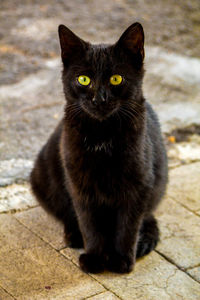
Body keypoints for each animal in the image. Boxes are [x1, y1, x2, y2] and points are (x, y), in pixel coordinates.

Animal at [30, 22, 167, 274]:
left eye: (116, 79)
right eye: (84, 79)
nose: (99, 99)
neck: (102, 136)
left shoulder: (139, 184)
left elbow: (128, 225)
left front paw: (121, 259)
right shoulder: (80, 185)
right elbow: (90, 224)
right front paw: (95, 257)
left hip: (159, 182)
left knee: (149, 215)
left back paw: (145, 239)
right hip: (43, 177)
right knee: (68, 215)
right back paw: (74, 236)